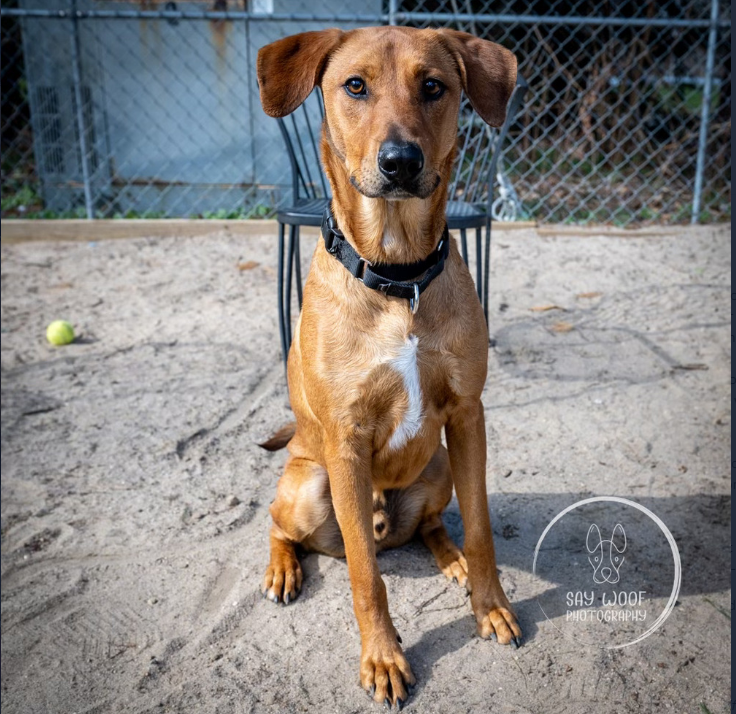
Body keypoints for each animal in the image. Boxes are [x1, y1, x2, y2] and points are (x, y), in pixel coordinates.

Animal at [256, 26, 520, 708]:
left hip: (439, 467)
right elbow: (364, 575)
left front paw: (491, 607)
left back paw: (449, 558)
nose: (401, 161)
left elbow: (480, 528)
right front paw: (382, 658)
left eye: (434, 86)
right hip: (309, 484)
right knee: (280, 525)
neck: (399, 278)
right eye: (355, 86)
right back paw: (282, 570)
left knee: (430, 525)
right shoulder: (346, 439)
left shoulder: (468, 415)